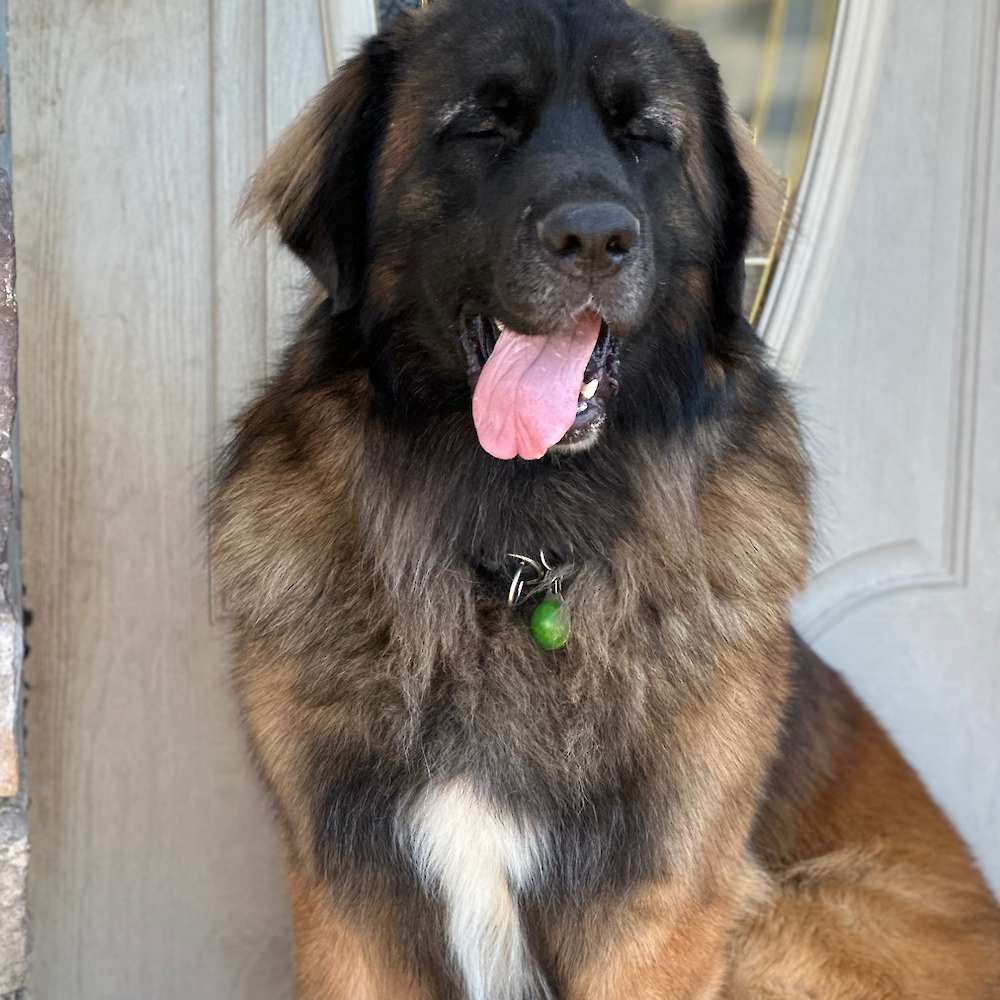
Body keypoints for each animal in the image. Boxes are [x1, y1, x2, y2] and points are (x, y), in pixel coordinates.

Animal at [210, 1, 1000, 996]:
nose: (594, 240)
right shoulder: (347, 892)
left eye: (644, 138)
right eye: (484, 125)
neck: (516, 556)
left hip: (792, 916)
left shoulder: (660, 903)